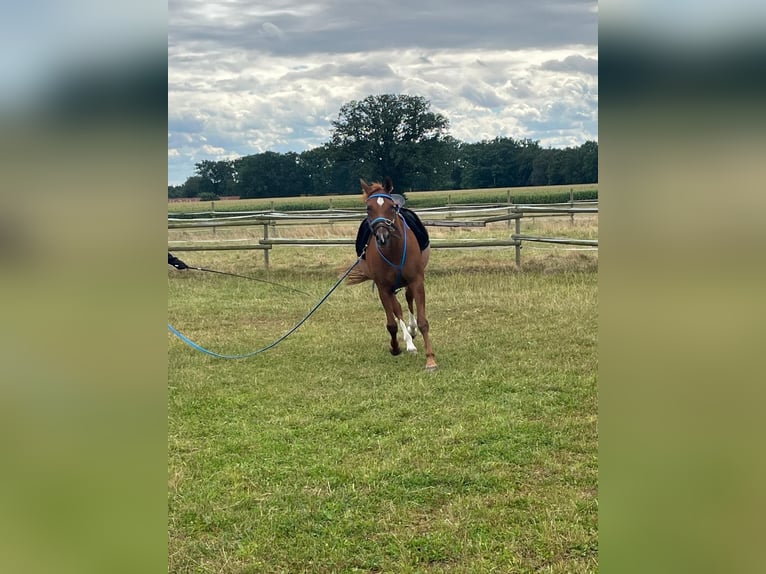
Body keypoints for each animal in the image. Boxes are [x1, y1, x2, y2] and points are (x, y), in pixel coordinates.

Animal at [346, 177, 437, 372]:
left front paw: (430, 360)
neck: (393, 251)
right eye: (368, 208)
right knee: (397, 309)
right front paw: (395, 348)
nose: (382, 236)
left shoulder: (417, 281)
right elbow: (391, 323)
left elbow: (423, 321)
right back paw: (409, 343)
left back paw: (412, 331)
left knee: (408, 300)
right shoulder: (383, 288)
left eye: (391, 207)